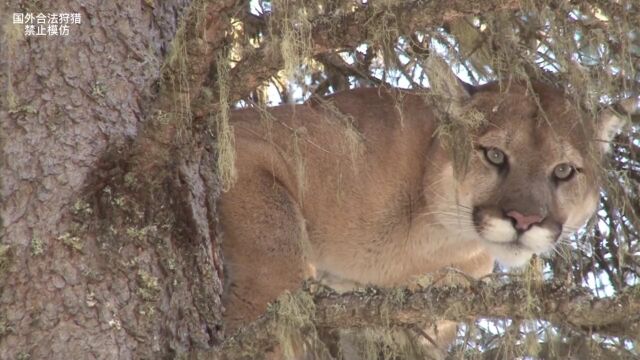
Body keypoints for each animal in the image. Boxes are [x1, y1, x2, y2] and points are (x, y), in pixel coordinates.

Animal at [220, 78, 624, 352]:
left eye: (563, 171)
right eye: (494, 155)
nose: (524, 220)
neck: (431, 237)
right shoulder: (247, 141)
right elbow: (276, 260)